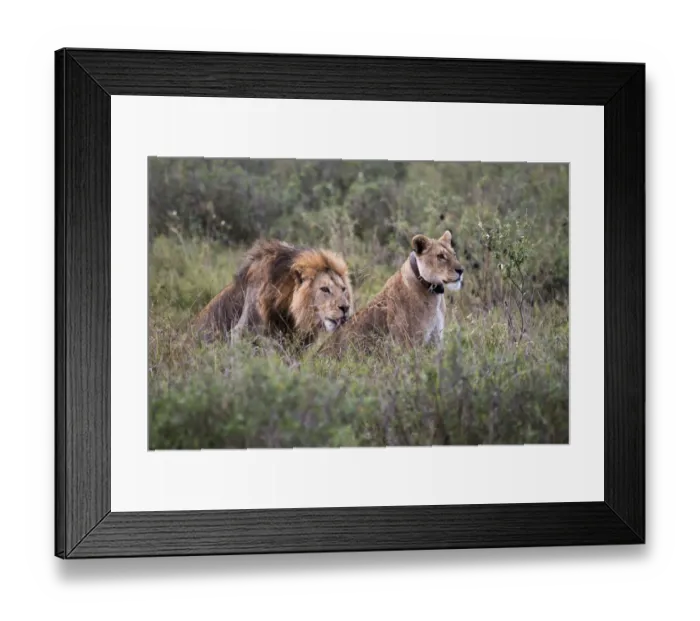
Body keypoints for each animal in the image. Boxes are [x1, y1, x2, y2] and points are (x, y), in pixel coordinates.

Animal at [316, 230, 464, 358]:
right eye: (440, 256)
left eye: (454, 254)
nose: (461, 270)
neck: (434, 294)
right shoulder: (407, 343)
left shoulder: (435, 341)